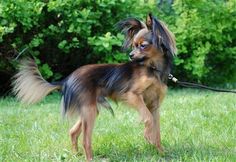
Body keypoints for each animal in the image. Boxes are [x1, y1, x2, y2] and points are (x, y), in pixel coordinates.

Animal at [12, 13, 175, 161]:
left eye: (143, 45)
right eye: (134, 45)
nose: (130, 55)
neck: (153, 69)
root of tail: (67, 79)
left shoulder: (154, 106)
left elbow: (157, 129)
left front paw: (161, 152)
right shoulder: (132, 95)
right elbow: (148, 119)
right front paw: (148, 136)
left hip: (89, 109)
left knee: (73, 132)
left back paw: (75, 154)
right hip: (89, 111)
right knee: (86, 141)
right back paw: (89, 158)